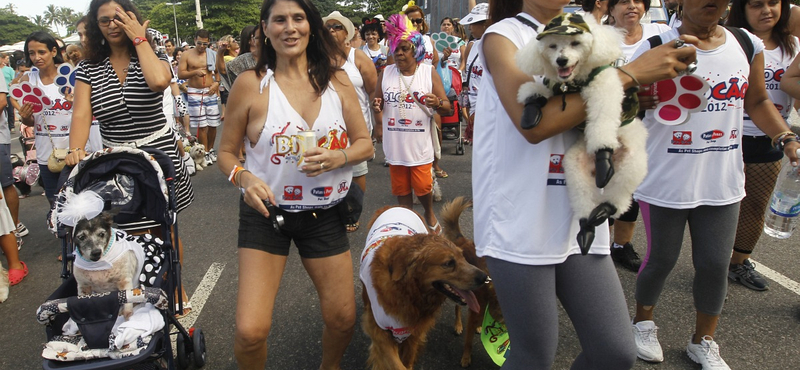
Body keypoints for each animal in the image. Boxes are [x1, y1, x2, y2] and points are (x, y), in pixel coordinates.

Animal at [360, 207, 488, 368]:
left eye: (462, 256)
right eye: (448, 263)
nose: (484, 277)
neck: (408, 292)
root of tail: (396, 207)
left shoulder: (414, 331)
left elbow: (407, 360)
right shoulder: (380, 334)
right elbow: (396, 365)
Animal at [440, 197, 504, 368]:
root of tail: (462, 240)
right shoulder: (474, 313)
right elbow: (468, 341)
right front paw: (466, 358)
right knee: (457, 308)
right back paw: (458, 325)